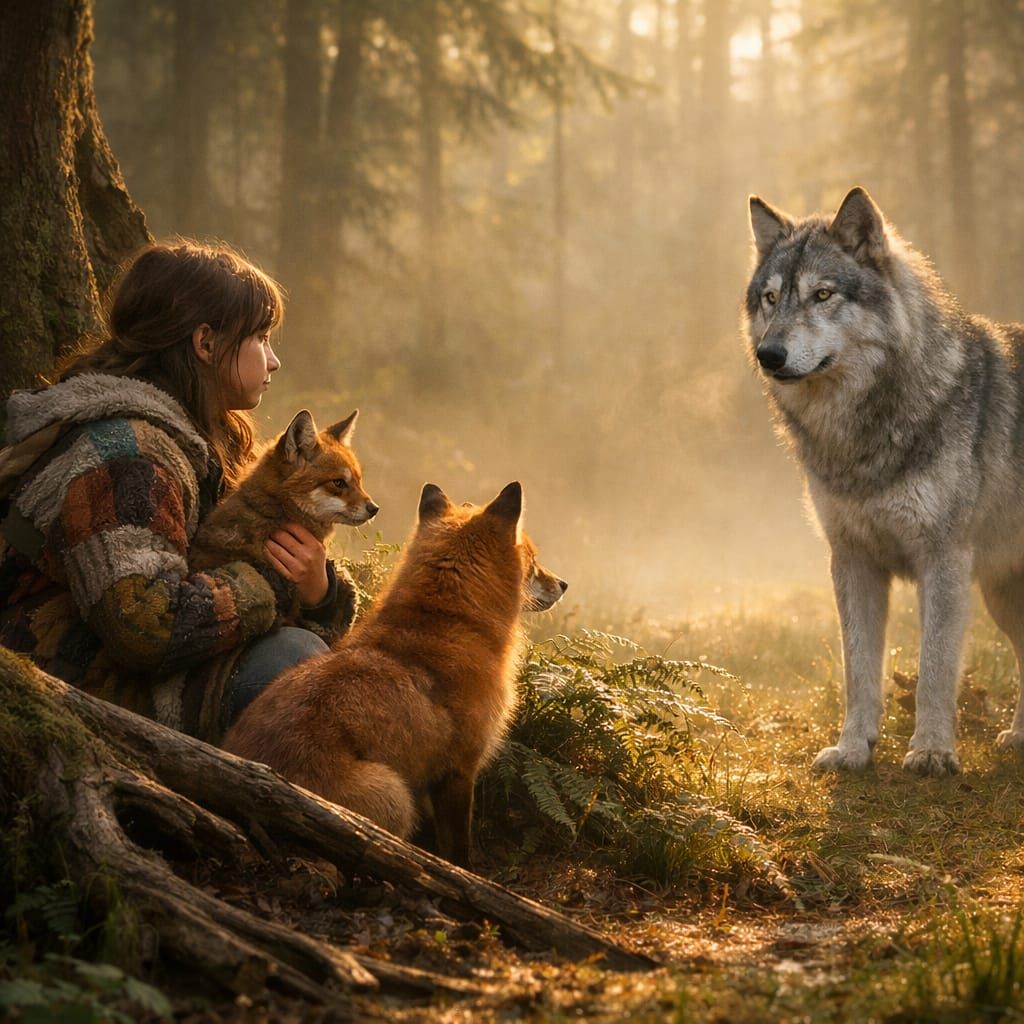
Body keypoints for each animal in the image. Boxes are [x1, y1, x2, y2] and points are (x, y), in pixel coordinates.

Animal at [221, 480, 567, 866]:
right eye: (533, 561)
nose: (563, 585)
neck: (443, 619)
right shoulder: (459, 769)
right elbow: (458, 849)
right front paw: (462, 871)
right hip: (395, 795)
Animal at [745, 185, 1024, 777]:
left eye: (823, 294)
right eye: (771, 298)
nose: (769, 355)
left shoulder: (942, 560)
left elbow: (935, 670)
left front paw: (932, 752)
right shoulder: (852, 560)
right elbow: (858, 670)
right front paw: (853, 749)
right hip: (1001, 593)